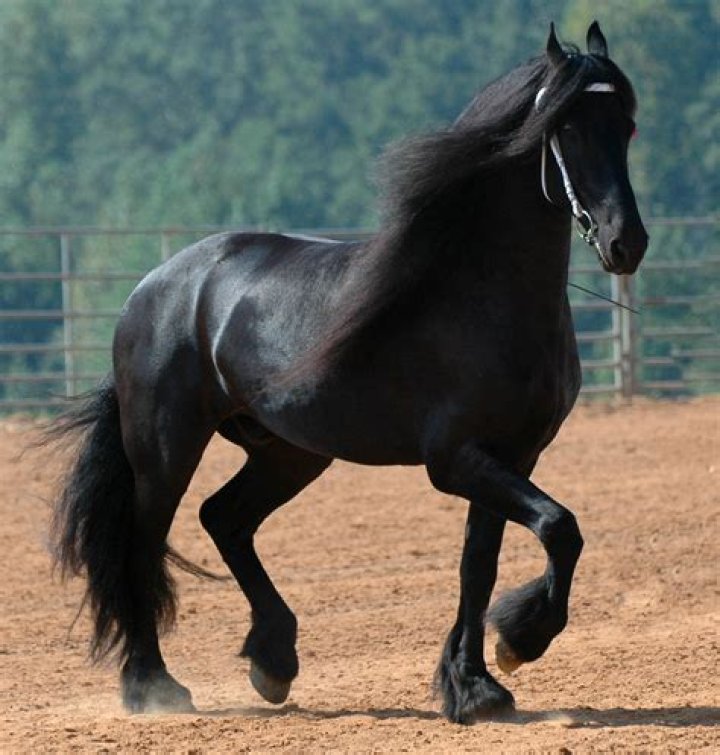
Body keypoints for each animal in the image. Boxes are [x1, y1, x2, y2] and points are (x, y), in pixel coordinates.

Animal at [47, 22, 648, 724]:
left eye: (626, 124)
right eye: (568, 127)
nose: (626, 243)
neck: (482, 296)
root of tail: (151, 288)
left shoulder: (512, 456)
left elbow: (481, 564)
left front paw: (474, 686)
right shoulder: (456, 460)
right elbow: (559, 528)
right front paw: (518, 643)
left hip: (289, 452)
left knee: (224, 519)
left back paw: (273, 660)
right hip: (166, 448)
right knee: (143, 544)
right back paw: (154, 685)